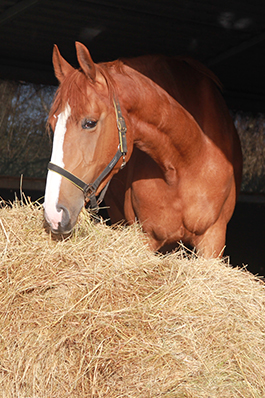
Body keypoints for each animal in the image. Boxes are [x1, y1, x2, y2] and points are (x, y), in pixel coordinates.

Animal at [43, 41, 241, 258]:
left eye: (90, 123)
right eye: (52, 126)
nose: (53, 213)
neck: (188, 158)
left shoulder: (213, 238)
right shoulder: (145, 237)